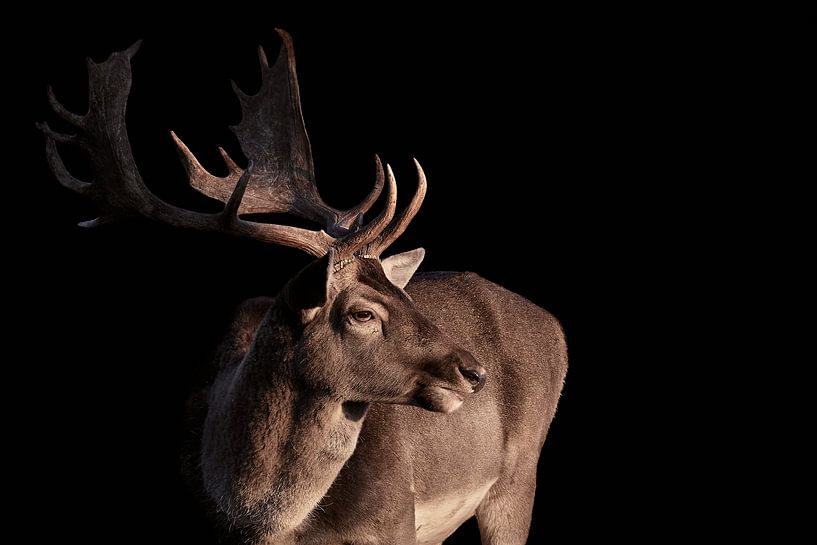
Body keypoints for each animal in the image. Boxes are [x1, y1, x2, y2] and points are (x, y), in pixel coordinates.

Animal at [38, 30, 567, 545]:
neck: (264, 523)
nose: (474, 372)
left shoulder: (397, 519)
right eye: (362, 313)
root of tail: (555, 326)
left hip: (518, 477)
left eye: (404, 295)